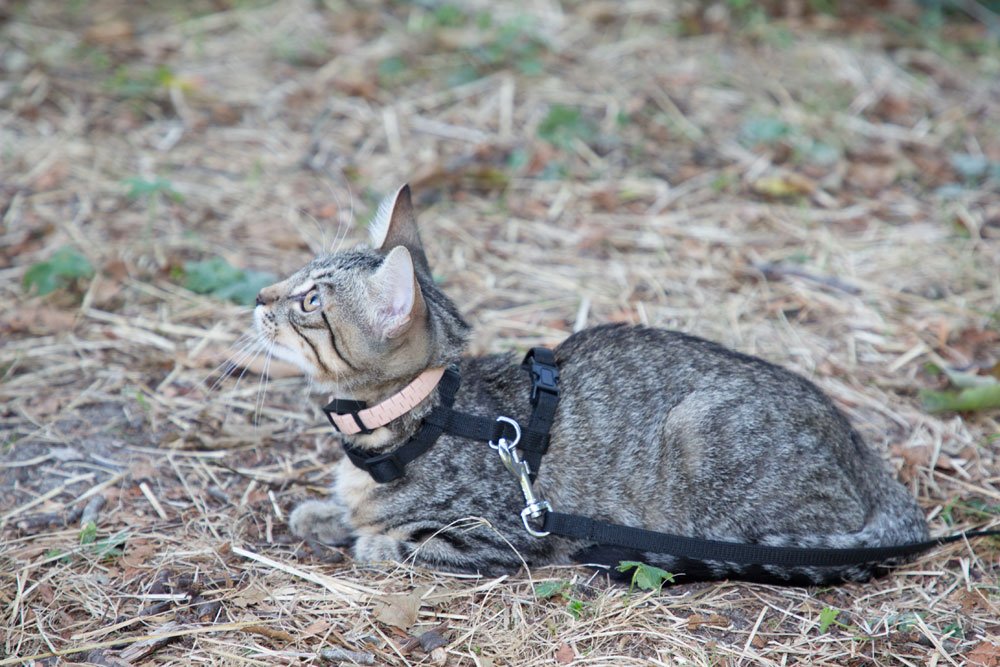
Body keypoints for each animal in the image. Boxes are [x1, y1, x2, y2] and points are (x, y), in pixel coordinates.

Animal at [256, 184, 928, 584]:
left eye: (310, 301)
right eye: (296, 275)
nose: (260, 296)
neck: (425, 416)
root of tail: (859, 448)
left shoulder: (499, 535)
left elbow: (402, 541)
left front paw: (368, 539)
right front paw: (326, 513)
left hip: (705, 439)